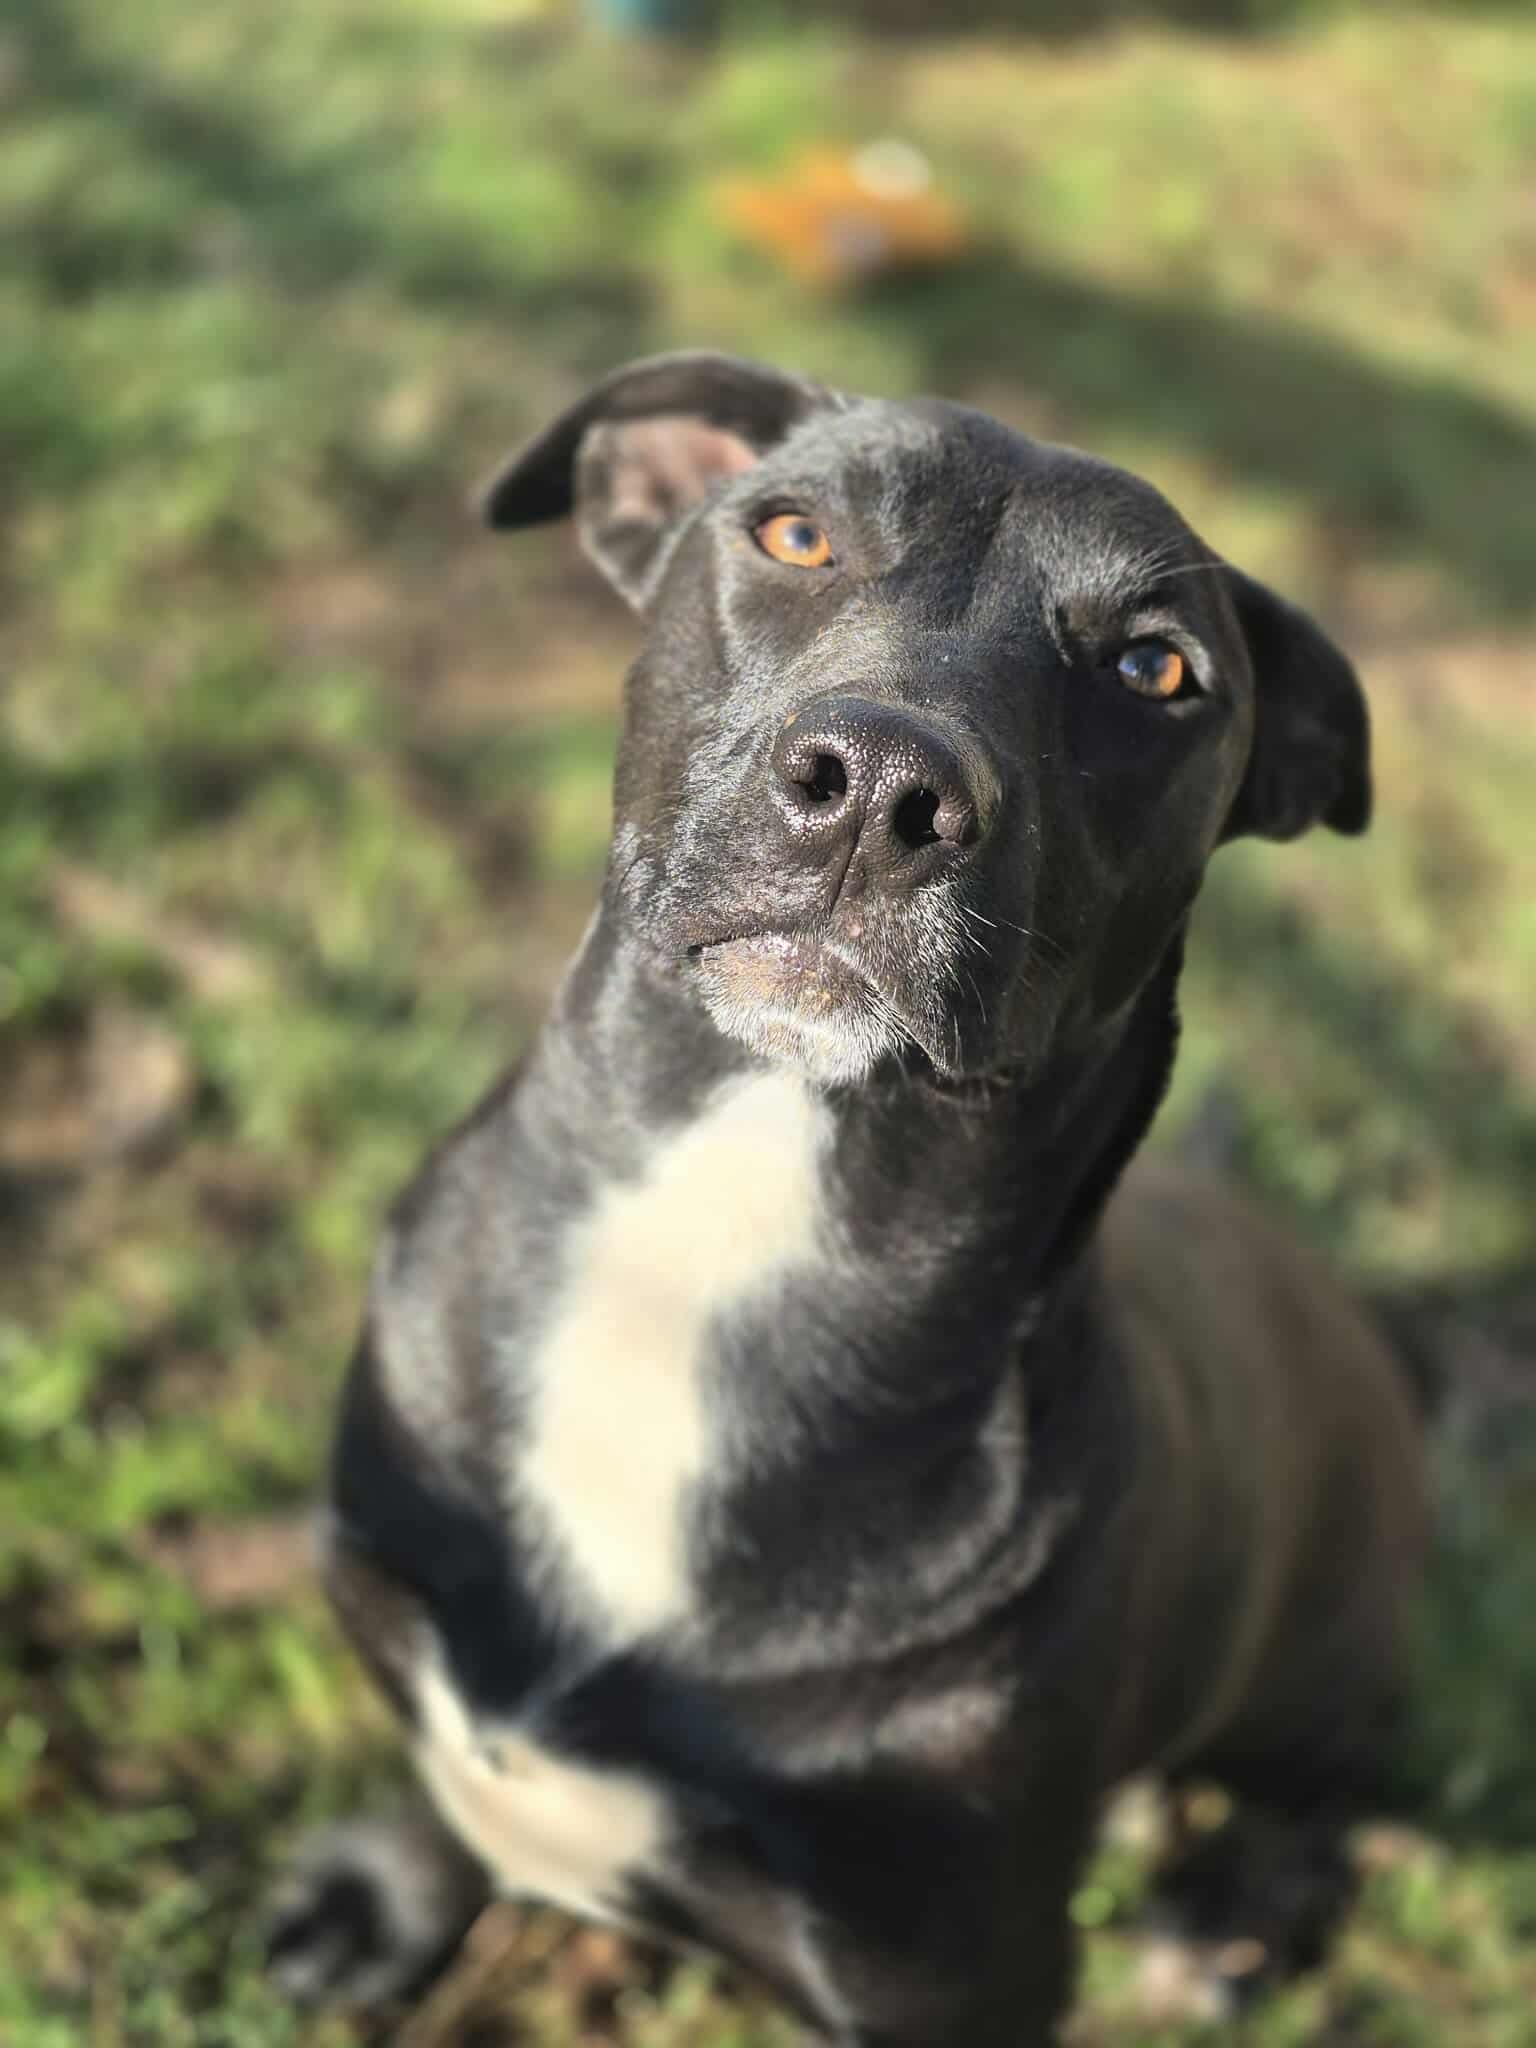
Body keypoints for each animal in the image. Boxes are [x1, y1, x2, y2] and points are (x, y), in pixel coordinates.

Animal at [267, 353, 1427, 2042]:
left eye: (1158, 669)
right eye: (794, 532)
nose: (884, 786)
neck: (717, 1235)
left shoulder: (940, 1973)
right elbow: (446, 1769)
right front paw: (387, 1896)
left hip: (1321, 1670)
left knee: (1326, 1795)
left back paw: (1228, 1911)